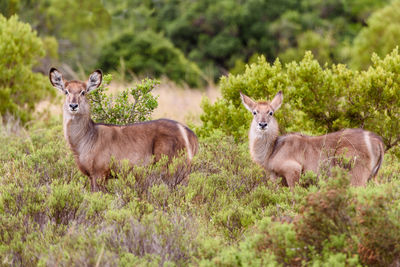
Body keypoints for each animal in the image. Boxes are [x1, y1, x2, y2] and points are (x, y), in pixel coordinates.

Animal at [49, 68, 199, 192]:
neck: (85, 140)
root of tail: (189, 133)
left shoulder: (99, 173)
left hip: (174, 167)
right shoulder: (91, 176)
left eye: (83, 92)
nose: (73, 105)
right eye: (66, 91)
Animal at [241, 91, 384, 187]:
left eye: (270, 112)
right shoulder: (276, 177)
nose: (262, 124)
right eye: (255, 112)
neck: (272, 151)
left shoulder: (293, 170)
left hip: (356, 174)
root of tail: (377, 141)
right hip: (372, 176)